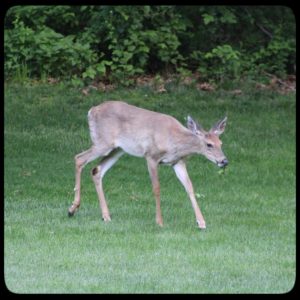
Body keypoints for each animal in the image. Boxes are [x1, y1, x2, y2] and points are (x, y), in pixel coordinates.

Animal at [68, 101, 227, 230]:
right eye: (209, 144)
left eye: (221, 143)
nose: (224, 161)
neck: (175, 141)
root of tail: (91, 111)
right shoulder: (151, 156)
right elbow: (156, 188)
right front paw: (159, 222)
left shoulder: (178, 162)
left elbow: (190, 188)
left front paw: (201, 222)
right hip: (103, 142)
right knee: (79, 158)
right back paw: (72, 208)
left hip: (118, 149)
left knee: (96, 170)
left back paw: (105, 216)